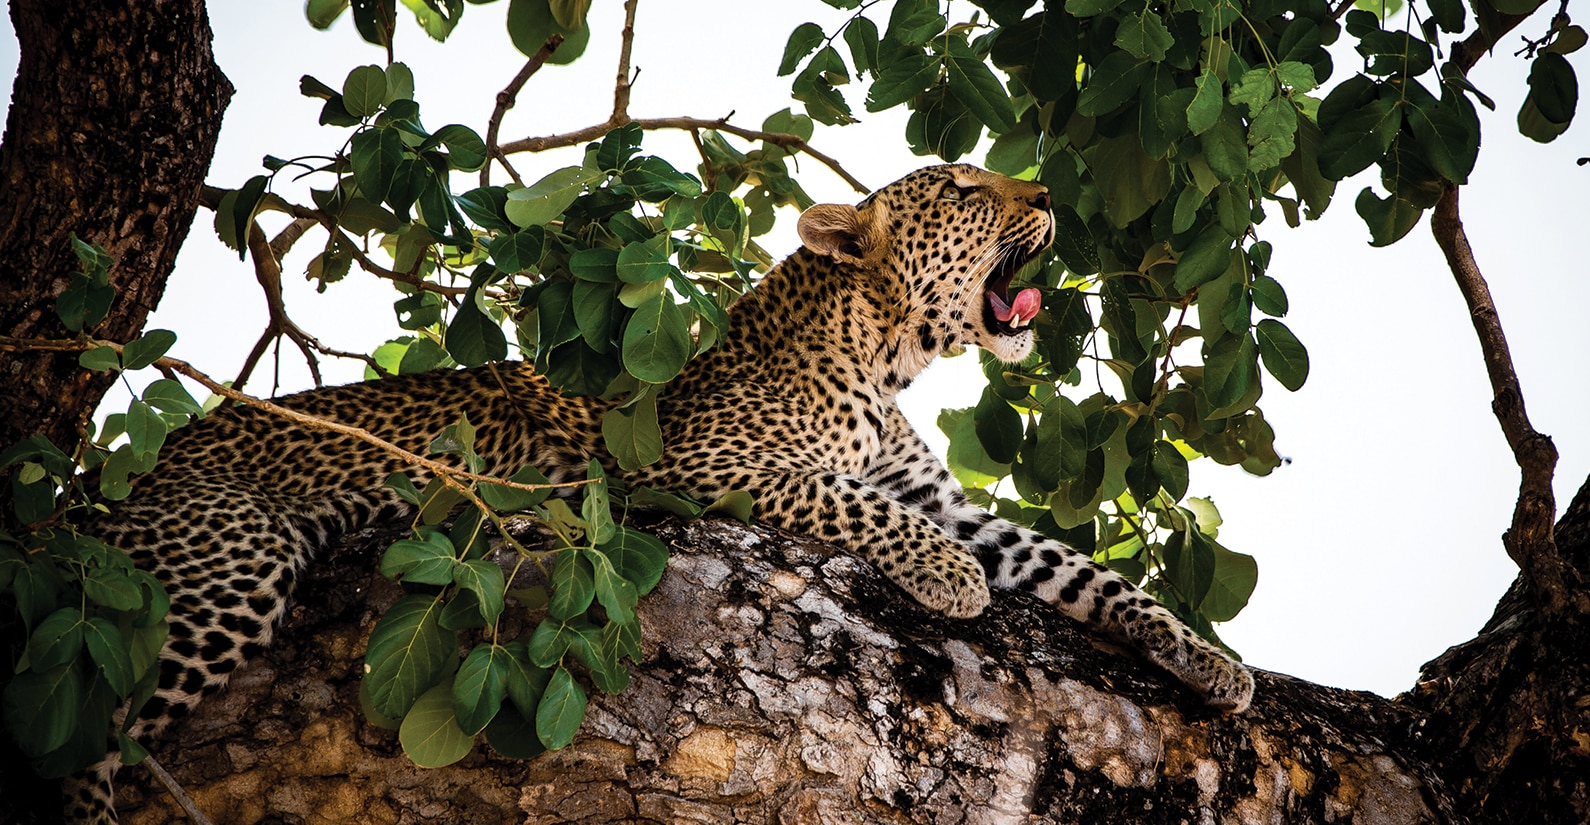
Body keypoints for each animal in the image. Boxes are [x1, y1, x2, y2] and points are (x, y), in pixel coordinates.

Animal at [66, 163, 1254, 823]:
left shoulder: (940, 493)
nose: (1048, 194)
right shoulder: (685, 466)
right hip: (221, 567)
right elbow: (850, 502)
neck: (885, 360)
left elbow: (1077, 568)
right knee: (89, 732)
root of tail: (151, 464)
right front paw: (952, 580)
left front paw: (1212, 665)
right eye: (965, 188)